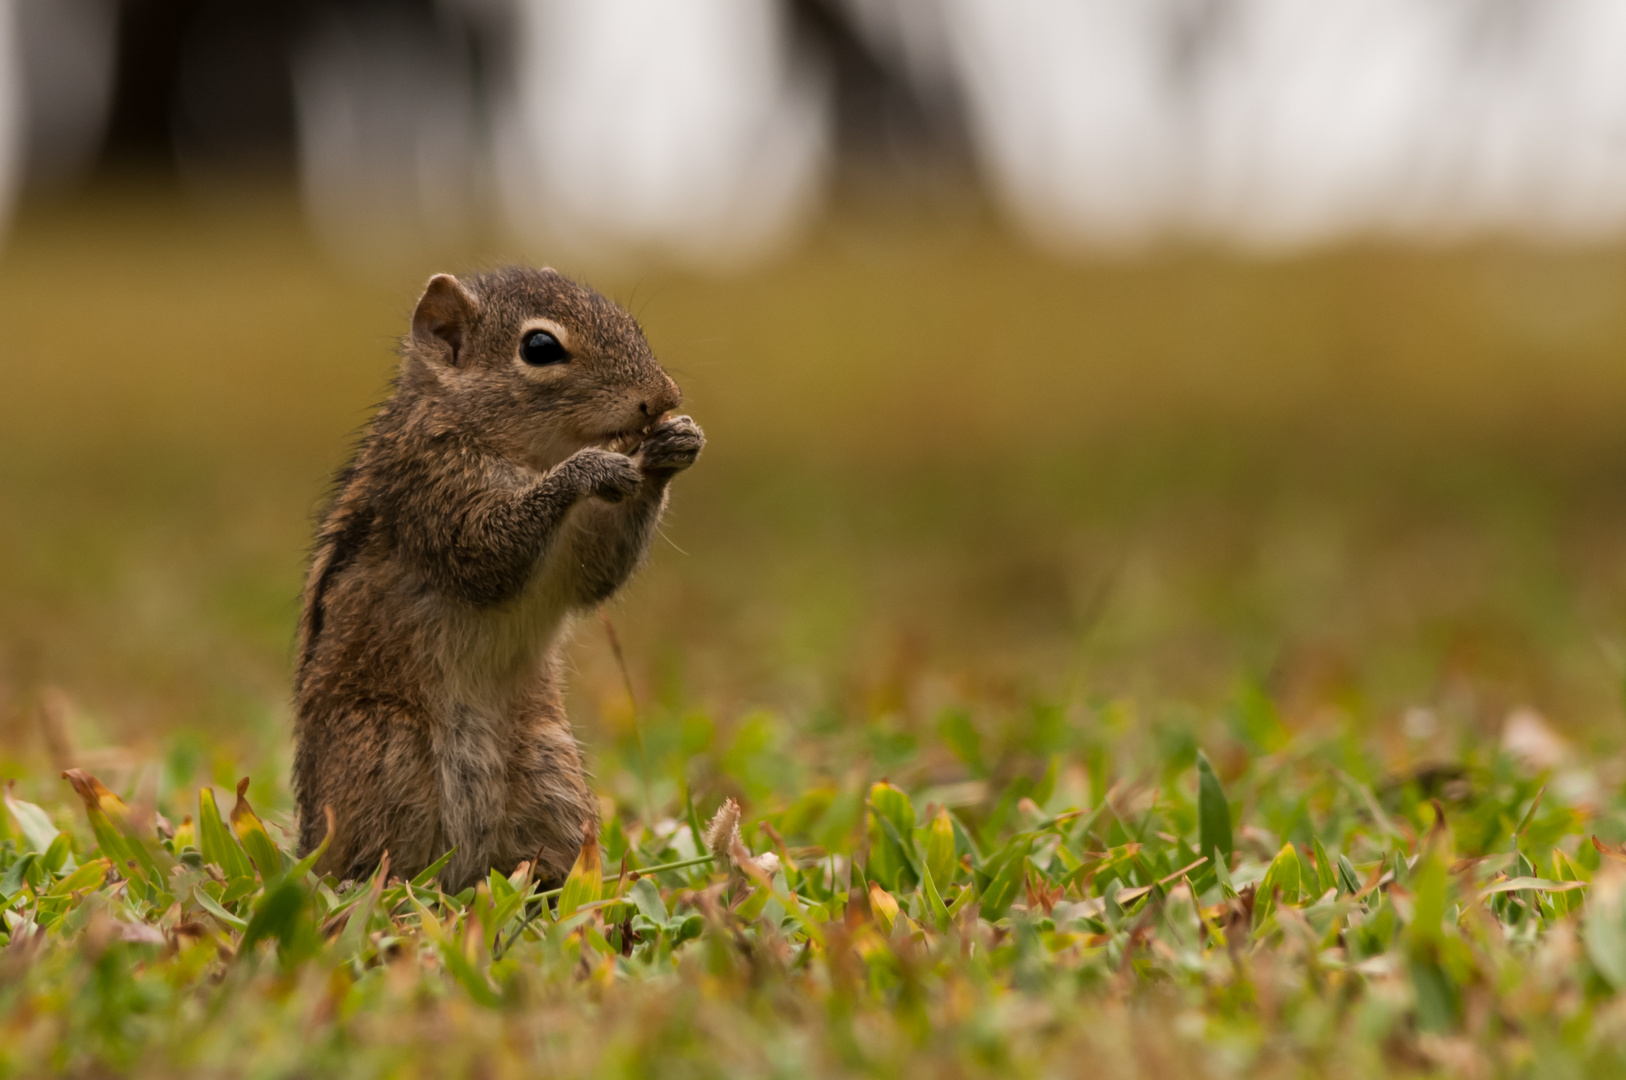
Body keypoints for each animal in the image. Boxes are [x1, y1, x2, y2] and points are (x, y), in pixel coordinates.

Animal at [295, 265, 702, 891]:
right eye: (540, 348)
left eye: (632, 325)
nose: (662, 399)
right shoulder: (431, 486)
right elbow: (485, 555)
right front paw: (587, 469)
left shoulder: (575, 558)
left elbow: (597, 575)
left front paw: (672, 445)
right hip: (382, 758)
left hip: (551, 774)